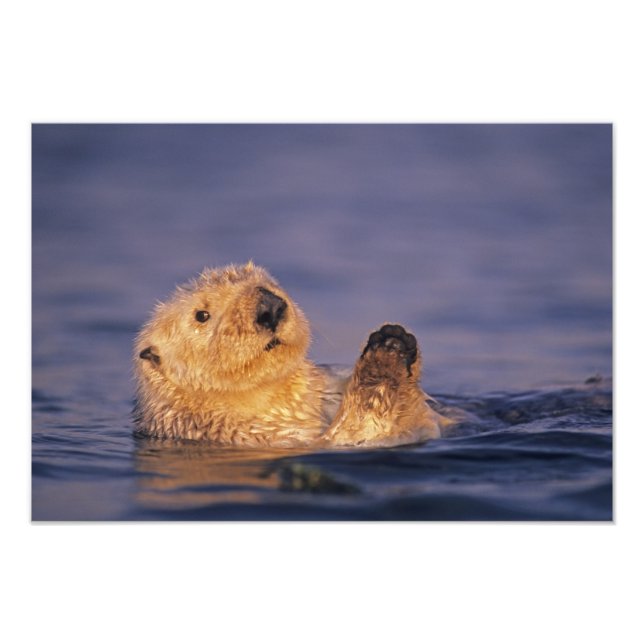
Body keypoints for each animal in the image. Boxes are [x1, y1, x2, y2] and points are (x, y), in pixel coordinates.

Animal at [133, 262, 452, 447]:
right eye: (201, 315)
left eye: (268, 284)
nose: (269, 307)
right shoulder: (258, 435)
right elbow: (362, 432)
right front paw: (386, 354)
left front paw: (394, 336)